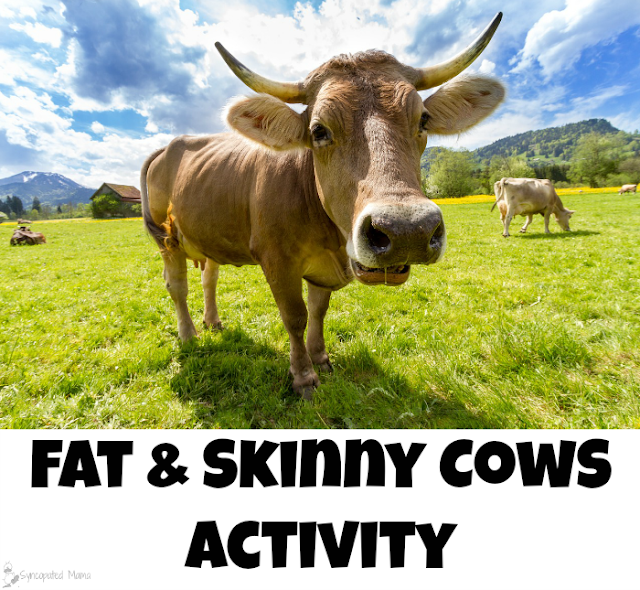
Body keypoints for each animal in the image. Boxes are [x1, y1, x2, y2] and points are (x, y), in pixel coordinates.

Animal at [141, 14, 506, 399]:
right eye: (318, 130)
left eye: (423, 119)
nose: (408, 230)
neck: (329, 238)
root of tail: (171, 144)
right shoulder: (276, 260)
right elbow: (295, 316)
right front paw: (303, 376)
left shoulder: (321, 270)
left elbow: (318, 311)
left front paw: (321, 359)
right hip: (167, 239)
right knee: (177, 286)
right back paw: (189, 334)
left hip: (207, 233)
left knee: (209, 277)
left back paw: (213, 322)